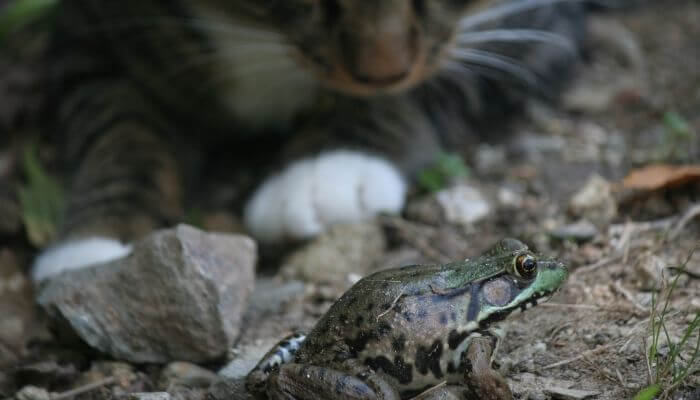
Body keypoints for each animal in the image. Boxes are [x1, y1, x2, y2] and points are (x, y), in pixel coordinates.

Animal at [34, 0, 592, 282]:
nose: (381, 69)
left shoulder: (537, 25)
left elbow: (430, 76)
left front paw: (325, 171)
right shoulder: (92, 39)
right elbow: (119, 133)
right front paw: (102, 246)